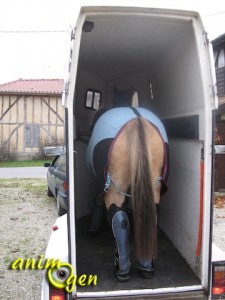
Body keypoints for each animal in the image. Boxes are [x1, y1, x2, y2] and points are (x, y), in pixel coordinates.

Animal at [86, 106, 169, 282]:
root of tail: (137, 120)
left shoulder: (98, 183)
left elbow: (97, 201)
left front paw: (93, 227)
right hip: (153, 184)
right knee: (150, 213)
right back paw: (146, 267)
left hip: (114, 187)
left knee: (118, 217)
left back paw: (121, 270)